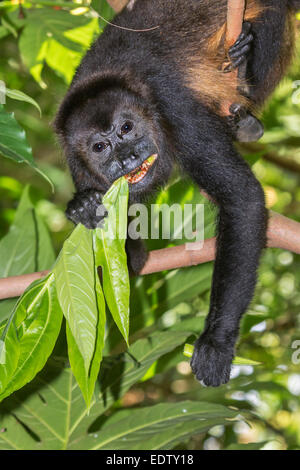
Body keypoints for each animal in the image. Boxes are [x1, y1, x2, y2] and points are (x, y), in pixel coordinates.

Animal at [54, 0, 300, 386]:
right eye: (99, 147)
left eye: (127, 128)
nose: (127, 157)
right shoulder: (78, 169)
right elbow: (128, 263)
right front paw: (81, 209)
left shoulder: (176, 111)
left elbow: (242, 198)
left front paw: (215, 342)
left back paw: (244, 89)